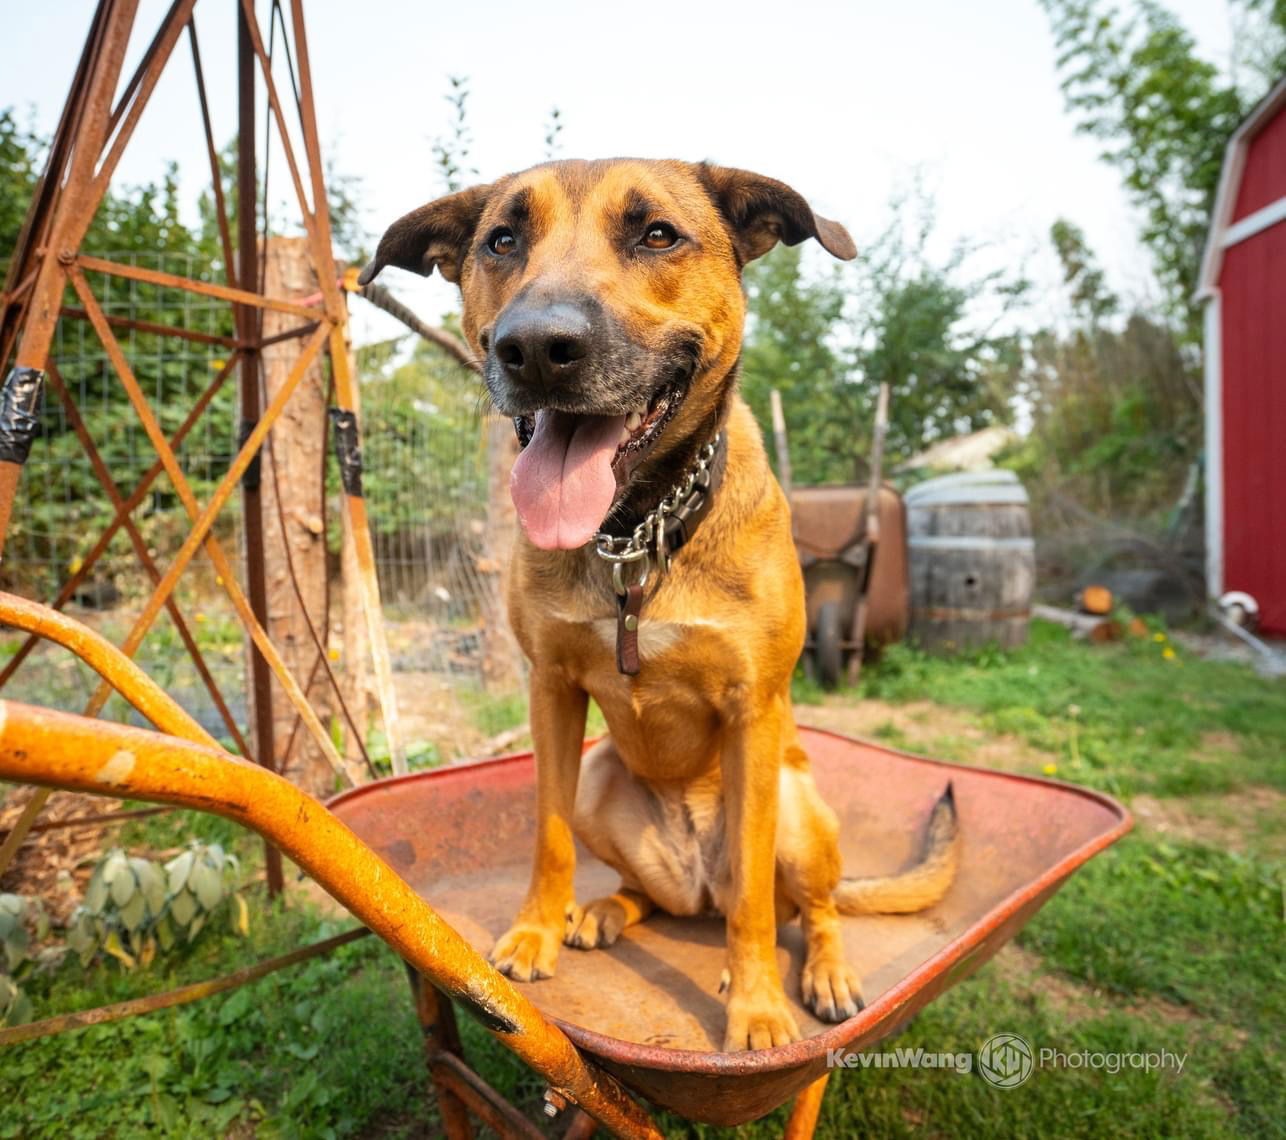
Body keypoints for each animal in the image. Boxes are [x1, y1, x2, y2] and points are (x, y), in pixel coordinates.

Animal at [360, 160, 956, 1055]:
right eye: (502, 239)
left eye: (657, 235)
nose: (536, 348)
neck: (637, 531)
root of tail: (694, 882)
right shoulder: (551, 692)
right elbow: (548, 837)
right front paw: (535, 932)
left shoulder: (752, 712)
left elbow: (754, 905)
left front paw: (756, 1008)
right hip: (602, 776)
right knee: (657, 894)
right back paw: (606, 910)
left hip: (797, 808)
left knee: (798, 906)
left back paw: (819, 969)